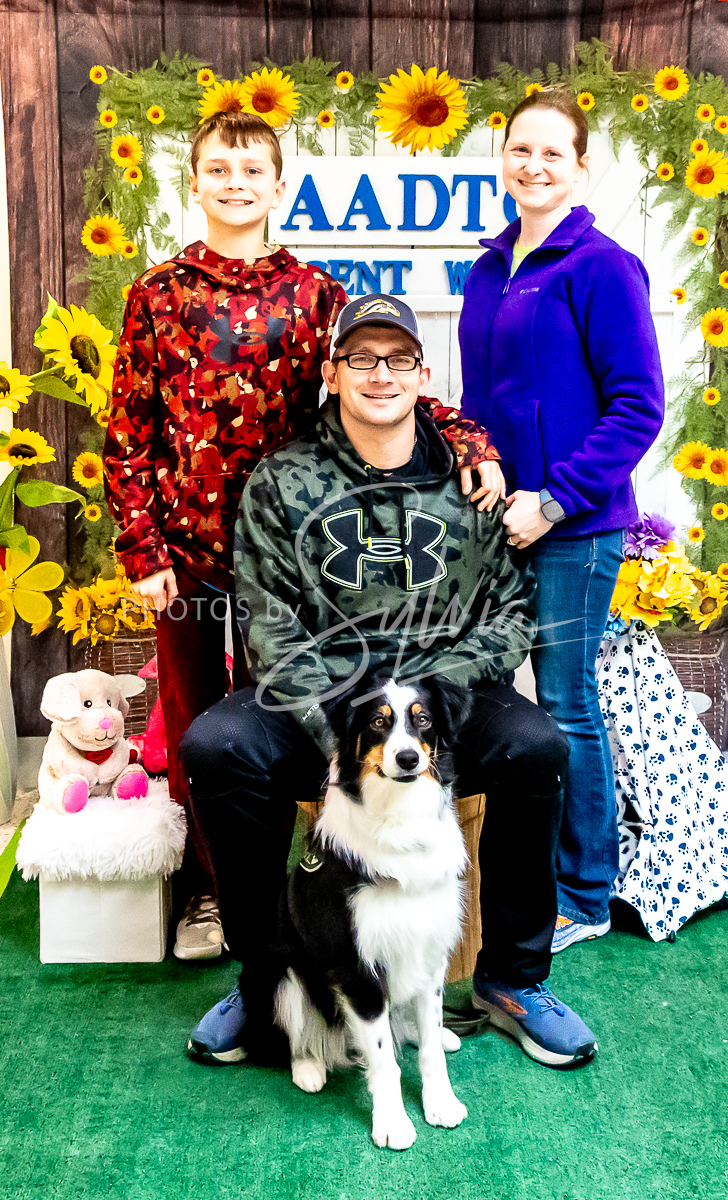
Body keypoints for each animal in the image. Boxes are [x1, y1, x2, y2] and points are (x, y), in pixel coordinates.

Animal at [273, 673, 472, 1151]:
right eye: (378, 723)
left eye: (424, 720)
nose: (408, 757)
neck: (399, 817)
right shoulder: (356, 966)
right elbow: (384, 1060)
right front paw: (393, 1123)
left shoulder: (430, 954)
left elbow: (429, 1050)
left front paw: (441, 1103)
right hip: (285, 971)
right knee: (294, 1027)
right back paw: (308, 1067)